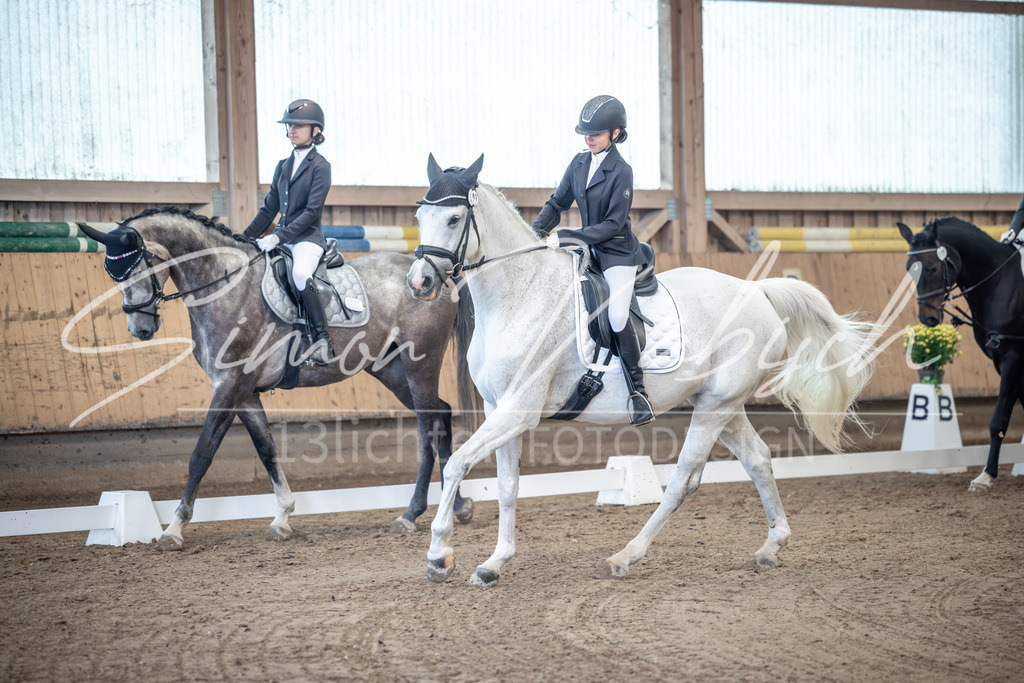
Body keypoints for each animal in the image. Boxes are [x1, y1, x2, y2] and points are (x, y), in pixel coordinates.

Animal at [79, 206, 477, 547]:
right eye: (112, 274)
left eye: (139, 268)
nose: (140, 329)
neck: (226, 284)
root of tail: (434, 278)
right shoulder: (245, 393)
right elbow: (267, 450)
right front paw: (283, 519)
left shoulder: (229, 386)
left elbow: (202, 454)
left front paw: (174, 529)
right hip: (390, 371)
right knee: (441, 414)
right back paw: (456, 507)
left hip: (420, 365)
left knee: (428, 430)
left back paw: (411, 514)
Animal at [405, 155, 877, 585]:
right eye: (419, 216)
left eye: (453, 218)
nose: (419, 283)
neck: (520, 294)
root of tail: (756, 290)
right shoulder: (498, 407)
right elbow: (507, 486)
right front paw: (494, 563)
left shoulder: (519, 408)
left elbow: (457, 464)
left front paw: (439, 555)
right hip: (722, 403)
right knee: (758, 458)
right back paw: (771, 546)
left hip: (715, 406)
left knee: (684, 479)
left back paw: (625, 556)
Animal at [899, 216, 1024, 493]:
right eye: (910, 269)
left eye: (933, 268)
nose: (927, 318)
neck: (1002, 284)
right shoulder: (1001, 361)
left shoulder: (1013, 358)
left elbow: (998, 419)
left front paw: (985, 477)